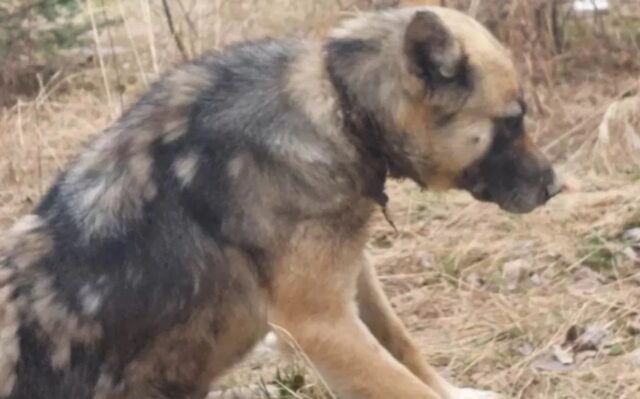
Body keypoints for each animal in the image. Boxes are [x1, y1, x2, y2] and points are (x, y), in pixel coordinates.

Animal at [0, 6, 560, 399]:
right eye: (513, 120)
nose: (555, 187)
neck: (338, 105)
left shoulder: (349, 278)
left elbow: (402, 342)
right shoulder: (319, 323)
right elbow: (403, 383)